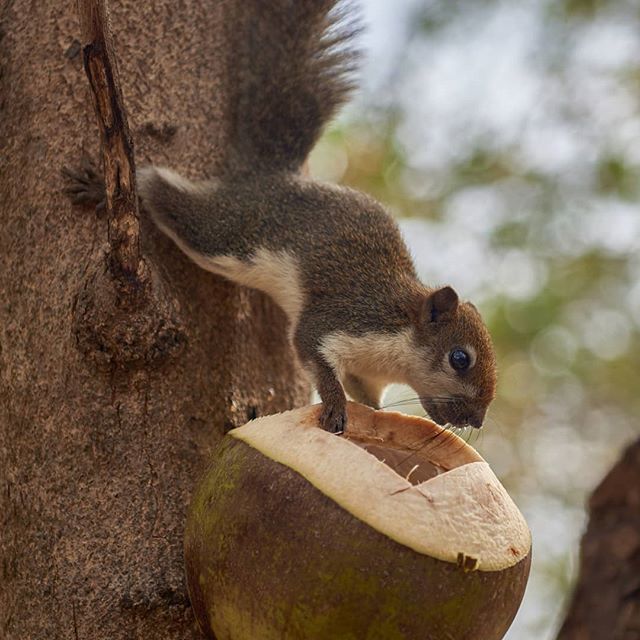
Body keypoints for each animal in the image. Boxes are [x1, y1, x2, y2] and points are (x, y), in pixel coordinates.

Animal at [66, 0, 497, 434]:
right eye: (460, 358)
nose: (476, 421)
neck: (399, 332)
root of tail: (273, 176)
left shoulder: (365, 371)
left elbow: (365, 395)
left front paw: (373, 416)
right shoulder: (344, 319)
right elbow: (311, 350)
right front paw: (335, 407)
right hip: (230, 230)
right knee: (170, 196)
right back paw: (114, 186)